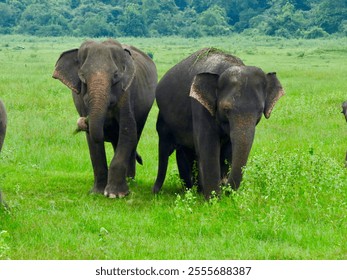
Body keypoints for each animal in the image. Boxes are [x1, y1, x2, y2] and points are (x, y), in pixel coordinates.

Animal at [53, 39, 158, 198]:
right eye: (82, 76)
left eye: (115, 75)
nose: (83, 121)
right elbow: (92, 141)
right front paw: (97, 192)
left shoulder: (126, 93)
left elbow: (128, 131)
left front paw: (116, 194)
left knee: (134, 137)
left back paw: (131, 180)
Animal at [154, 48, 286, 198]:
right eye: (226, 109)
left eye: (259, 111)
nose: (226, 186)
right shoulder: (200, 106)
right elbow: (209, 146)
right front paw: (213, 198)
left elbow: (229, 150)